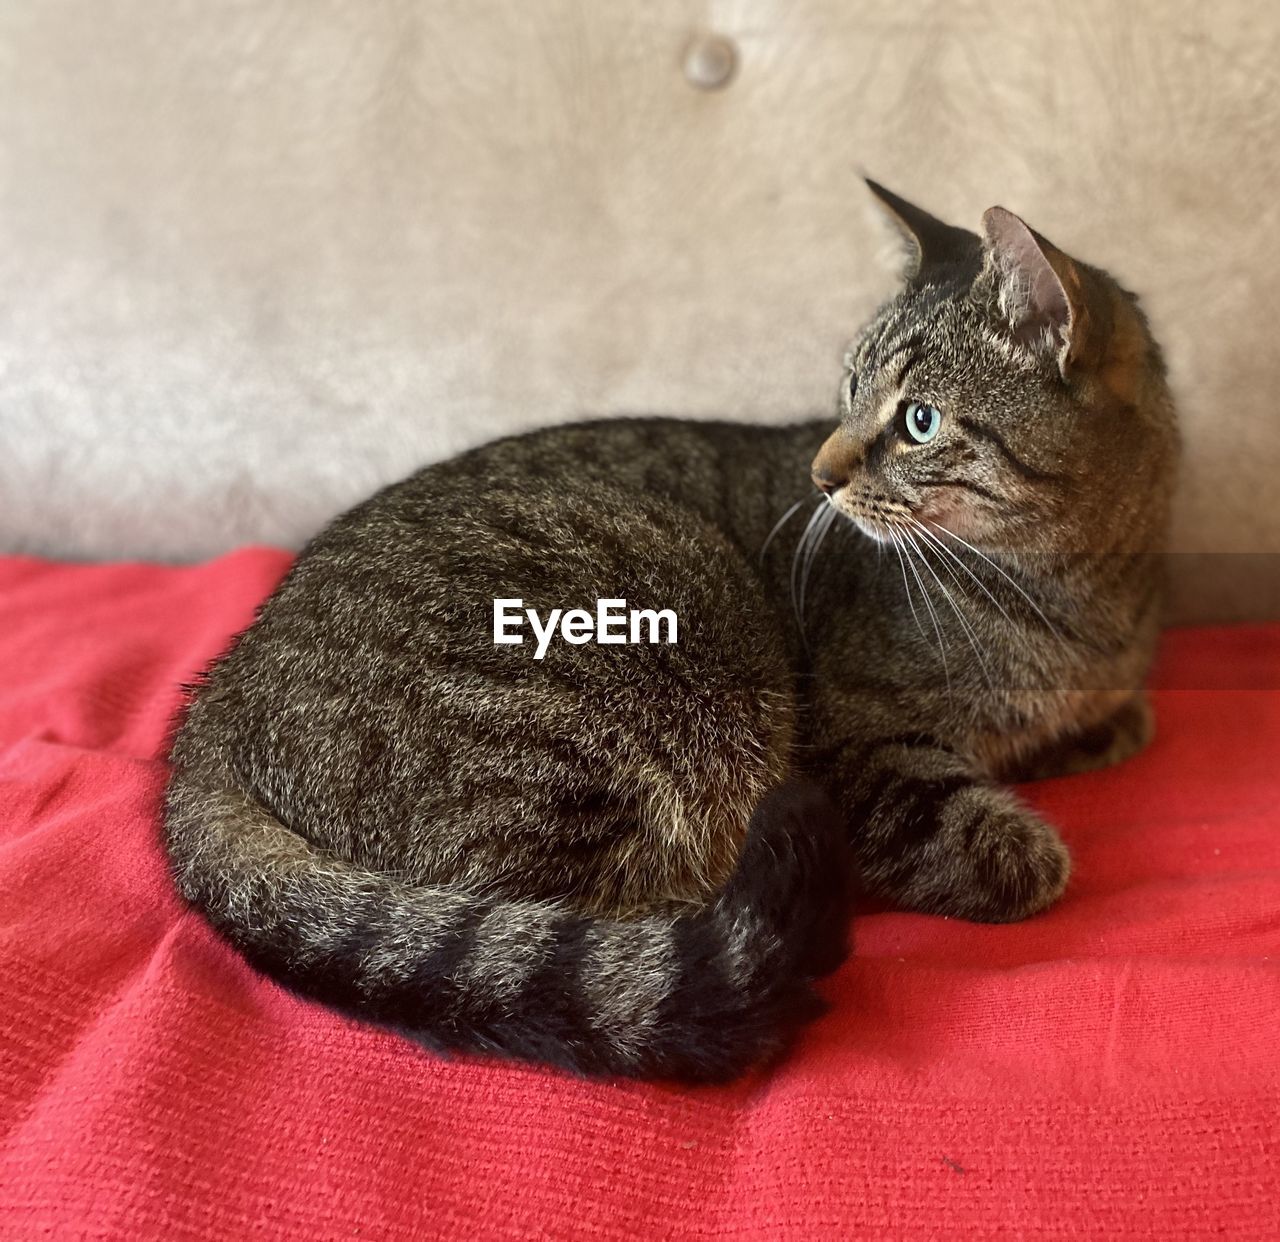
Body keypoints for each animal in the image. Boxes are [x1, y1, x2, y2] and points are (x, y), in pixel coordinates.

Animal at [167, 181, 1177, 1075]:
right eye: (846, 393)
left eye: (920, 421)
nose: (819, 476)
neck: (1084, 596)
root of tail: (212, 707)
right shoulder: (854, 748)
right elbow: (977, 841)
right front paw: (1023, 847)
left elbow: (1100, 725)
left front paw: (1098, 731)